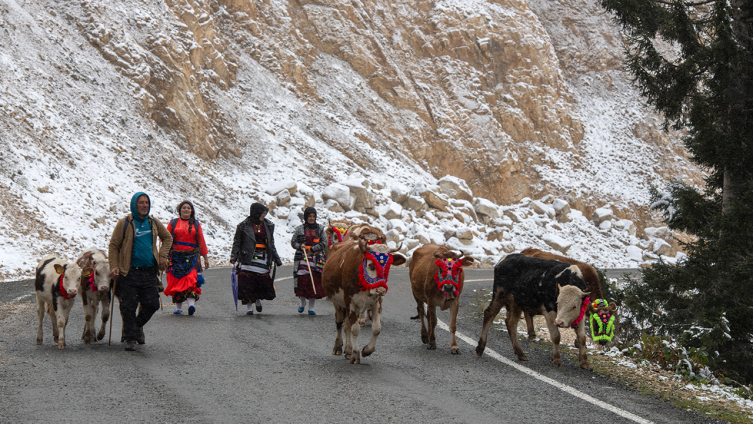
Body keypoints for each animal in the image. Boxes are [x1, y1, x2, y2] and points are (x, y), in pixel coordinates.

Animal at [322, 225, 406, 364]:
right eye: (371, 265)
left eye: (388, 266)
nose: (381, 290)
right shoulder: (350, 302)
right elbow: (355, 330)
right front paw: (356, 355)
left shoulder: (376, 302)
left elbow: (376, 328)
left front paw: (366, 350)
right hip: (338, 303)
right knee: (339, 323)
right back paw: (338, 347)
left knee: (346, 326)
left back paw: (348, 350)